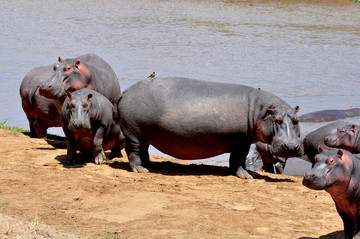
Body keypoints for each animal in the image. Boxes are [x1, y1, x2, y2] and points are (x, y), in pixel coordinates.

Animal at [118, 77, 304, 178]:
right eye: (277, 119)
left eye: (296, 119)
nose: (291, 146)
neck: (260, 111)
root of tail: (125, 92)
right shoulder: (241, 141)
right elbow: (239, 160)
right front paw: (246, 176)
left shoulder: (239, 142)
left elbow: (234, 160)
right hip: (134, 134)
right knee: (133, 152)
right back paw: (141, 170)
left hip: (144, 135)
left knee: (143, 151)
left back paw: (150, 165)